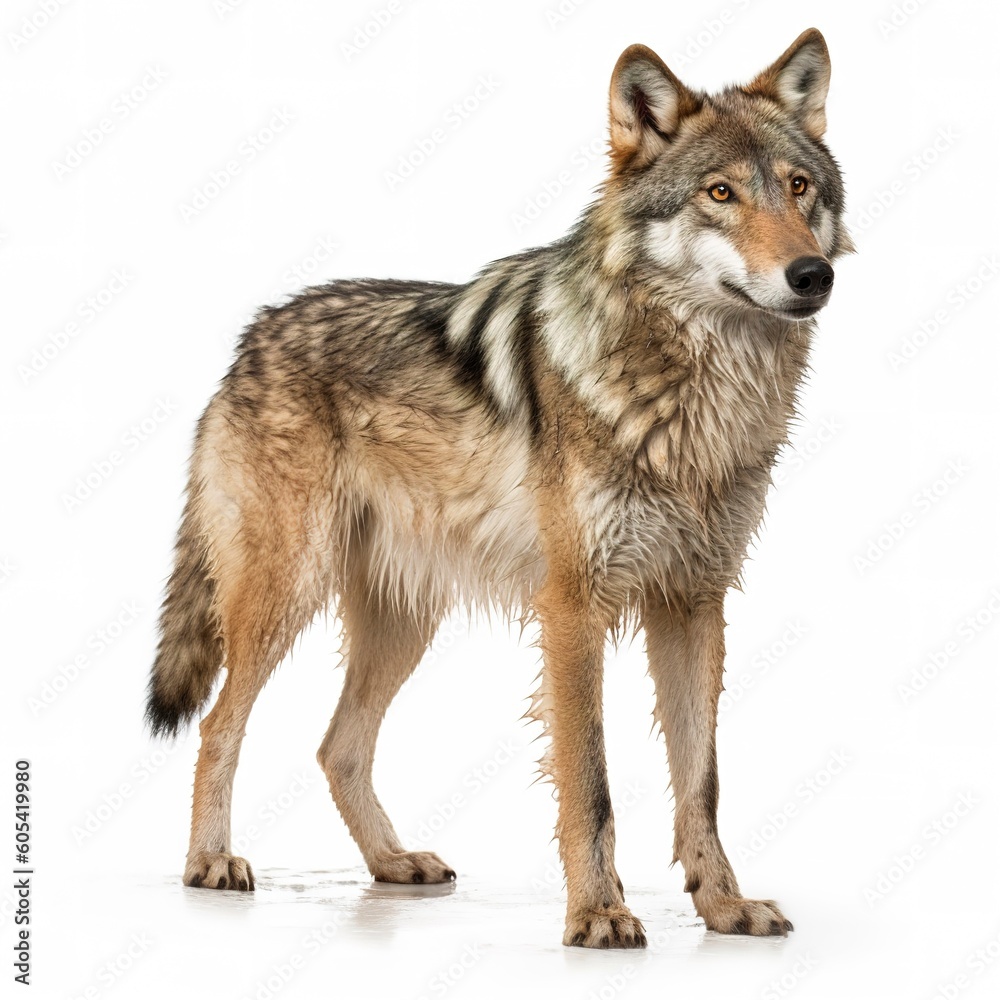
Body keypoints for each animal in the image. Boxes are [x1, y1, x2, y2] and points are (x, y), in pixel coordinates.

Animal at [146, 28, 851, 949]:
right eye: (720, 193)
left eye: (799, 188)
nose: (811, 275)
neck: (693, 399)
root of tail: (250, 338)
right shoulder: (574, 608)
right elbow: (592, 784)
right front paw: (599, 914)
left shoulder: (694, 602)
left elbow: (702, 783)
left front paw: (724, 906)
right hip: (285, 594)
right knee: (219, 725)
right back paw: (210, 863)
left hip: (405, 621)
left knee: (337, 746)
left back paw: (392, 863)